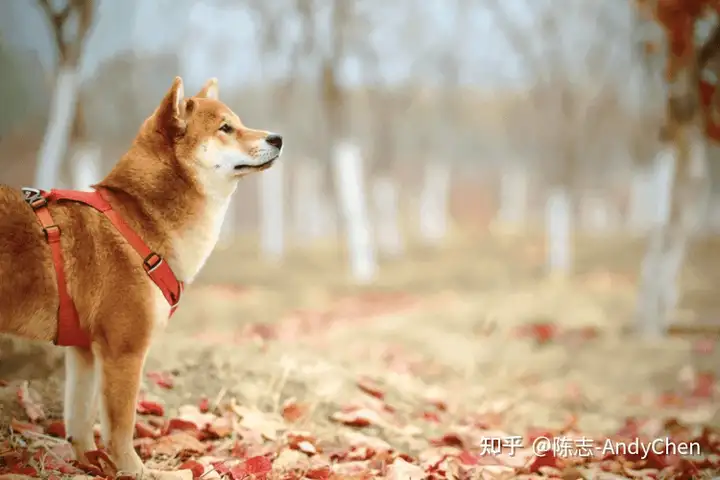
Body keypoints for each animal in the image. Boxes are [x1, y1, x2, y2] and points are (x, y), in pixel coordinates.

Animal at [0, 77, 282, 478]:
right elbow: (120, 429)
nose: (278, 138)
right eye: (226, 128)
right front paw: (135, 470)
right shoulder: (124, 350)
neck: (138, 220)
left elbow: (79, 424)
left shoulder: (83, 350)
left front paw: (92, 465)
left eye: (239, 122)